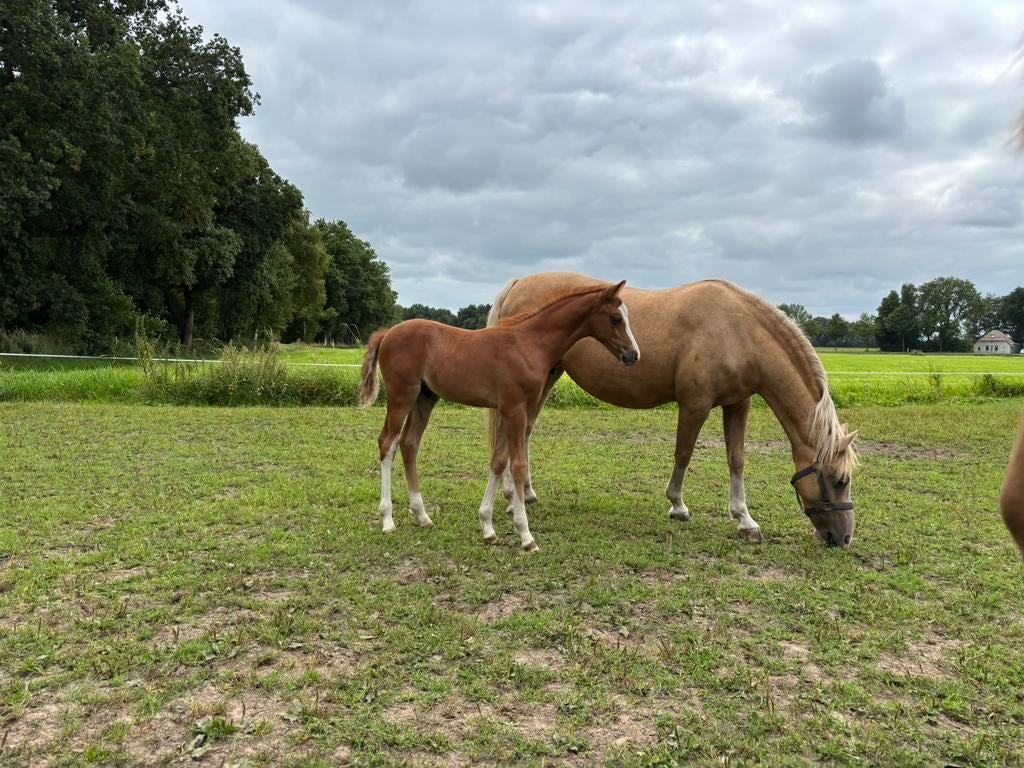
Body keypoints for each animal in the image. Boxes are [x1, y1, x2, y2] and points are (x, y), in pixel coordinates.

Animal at [357, 280, 640, 551]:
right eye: (617, 317)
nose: (634, 355)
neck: (529, 344)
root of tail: (387, 333)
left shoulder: (510, 410)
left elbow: (499, 461)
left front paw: (487, 527)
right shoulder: (516, 410)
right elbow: (518, 465)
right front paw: (525, 535)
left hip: (425, 398)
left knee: (409, 444)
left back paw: (422, 515)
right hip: (401, 396)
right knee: (388, 444)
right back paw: (388, 520)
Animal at [487, 272, 858, 548]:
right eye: (840, 480)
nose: (843, 538)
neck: (739, 330)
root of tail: (518, 283)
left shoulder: (738, 403)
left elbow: (736, 459)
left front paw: (744, 519)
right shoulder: (695, 405)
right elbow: (683, 453)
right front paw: (677, 505)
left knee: (524, 433)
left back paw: (525, 493)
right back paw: (511, 497)